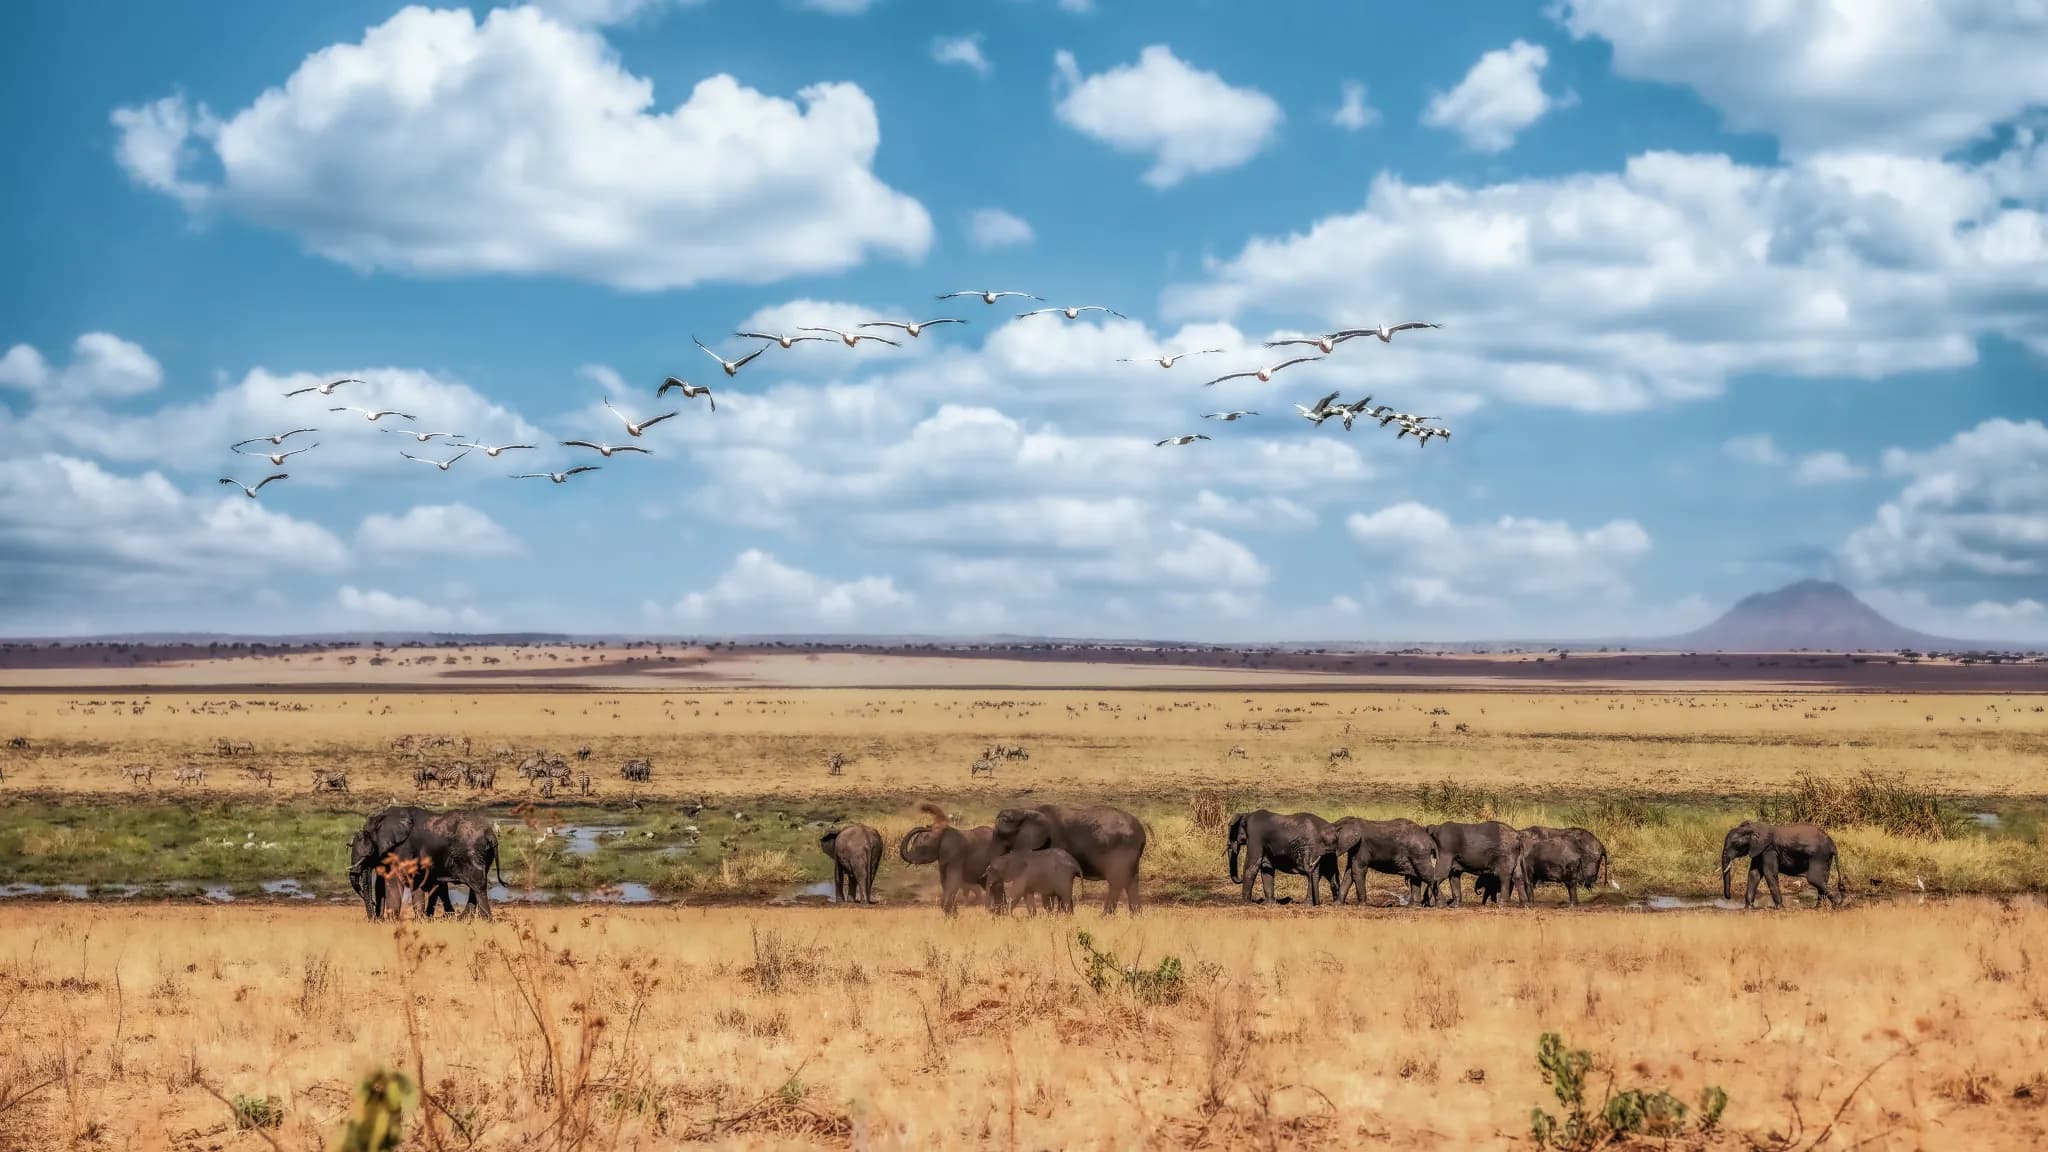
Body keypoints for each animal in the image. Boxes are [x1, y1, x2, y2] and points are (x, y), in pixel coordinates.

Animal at [992, 803, 1147, 914]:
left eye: (1000, 834)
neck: (1025, 810)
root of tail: (1141, 831)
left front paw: (1059, 916)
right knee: (1131, 881)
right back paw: (1135, 915)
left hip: (1121, 849)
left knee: (1117, 882)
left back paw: (1104, 917)